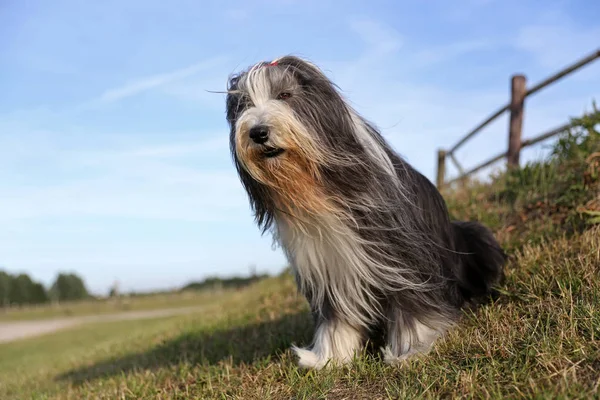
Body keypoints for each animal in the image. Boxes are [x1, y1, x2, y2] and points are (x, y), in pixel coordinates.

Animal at [225, 55, 506, 368]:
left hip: (475, 238)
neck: (319, 186)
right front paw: (329, 358)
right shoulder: (328, 267)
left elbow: (414, 305)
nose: (257, 132)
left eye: (284, 95)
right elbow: (336, 318)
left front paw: (411, 350)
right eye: (244, 105)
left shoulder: (403, 258)